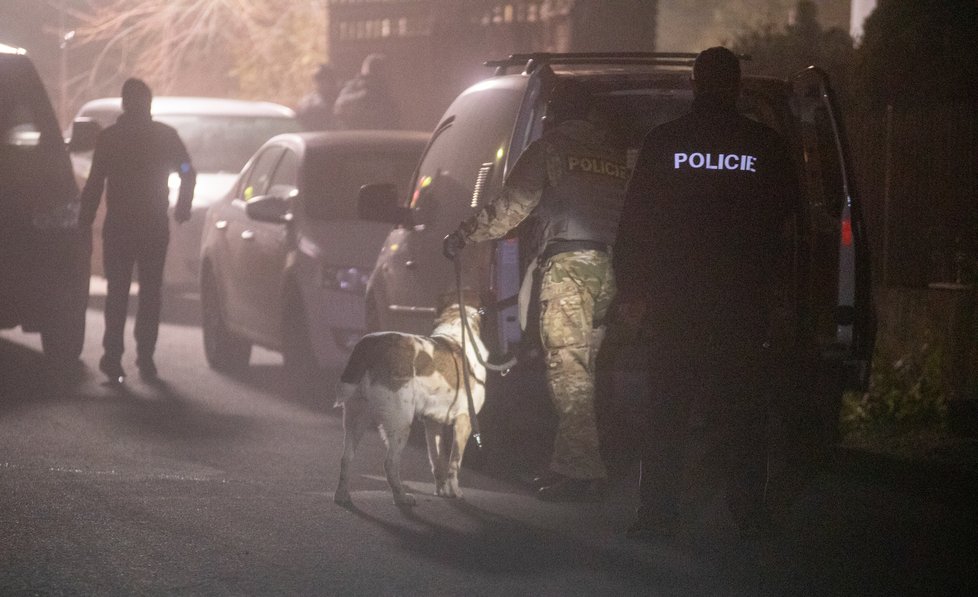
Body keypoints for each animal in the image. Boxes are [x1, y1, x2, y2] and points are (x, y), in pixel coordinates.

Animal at [334, 292, 486, 506]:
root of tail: (370, 345)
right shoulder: (464, 420)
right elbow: (454, 462)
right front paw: (455, 492)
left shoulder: (432, 423)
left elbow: (437, 460)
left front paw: (442, 491)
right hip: (400, 422)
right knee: (390, 464)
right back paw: (401, 497)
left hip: (356, 417)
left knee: (346, 458)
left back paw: (342, 495)